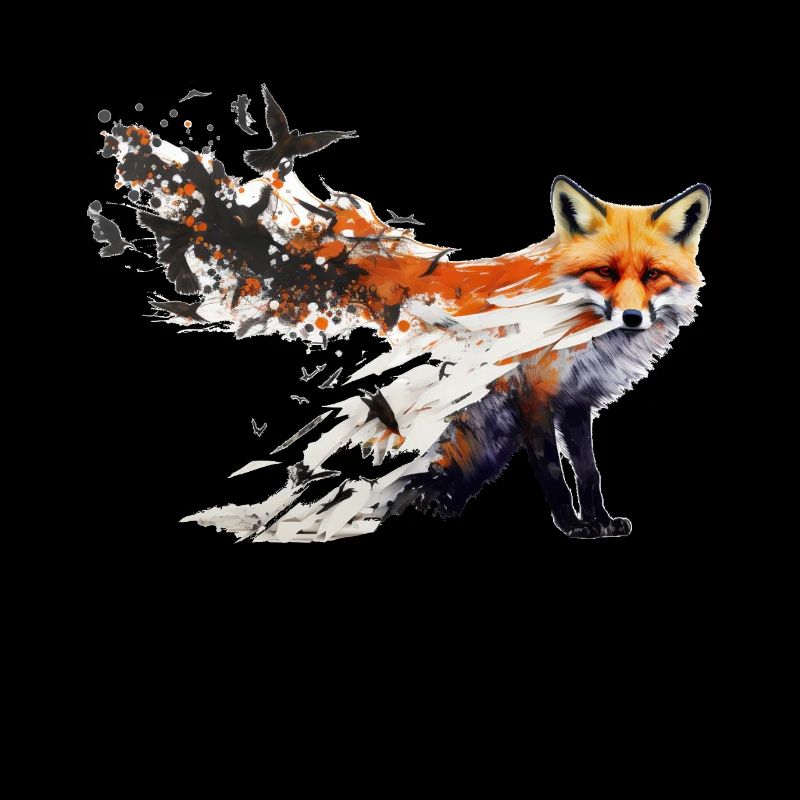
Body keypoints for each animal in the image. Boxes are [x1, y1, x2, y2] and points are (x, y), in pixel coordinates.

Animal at [94, 86, 710, 541]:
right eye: (604, 272)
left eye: (652, 276)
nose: (631, 319)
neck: (580, 329)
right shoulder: (534, 398)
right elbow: (557, 476)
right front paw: (571, 525)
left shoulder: (577, 404)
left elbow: (588, 470)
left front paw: (600, 522)